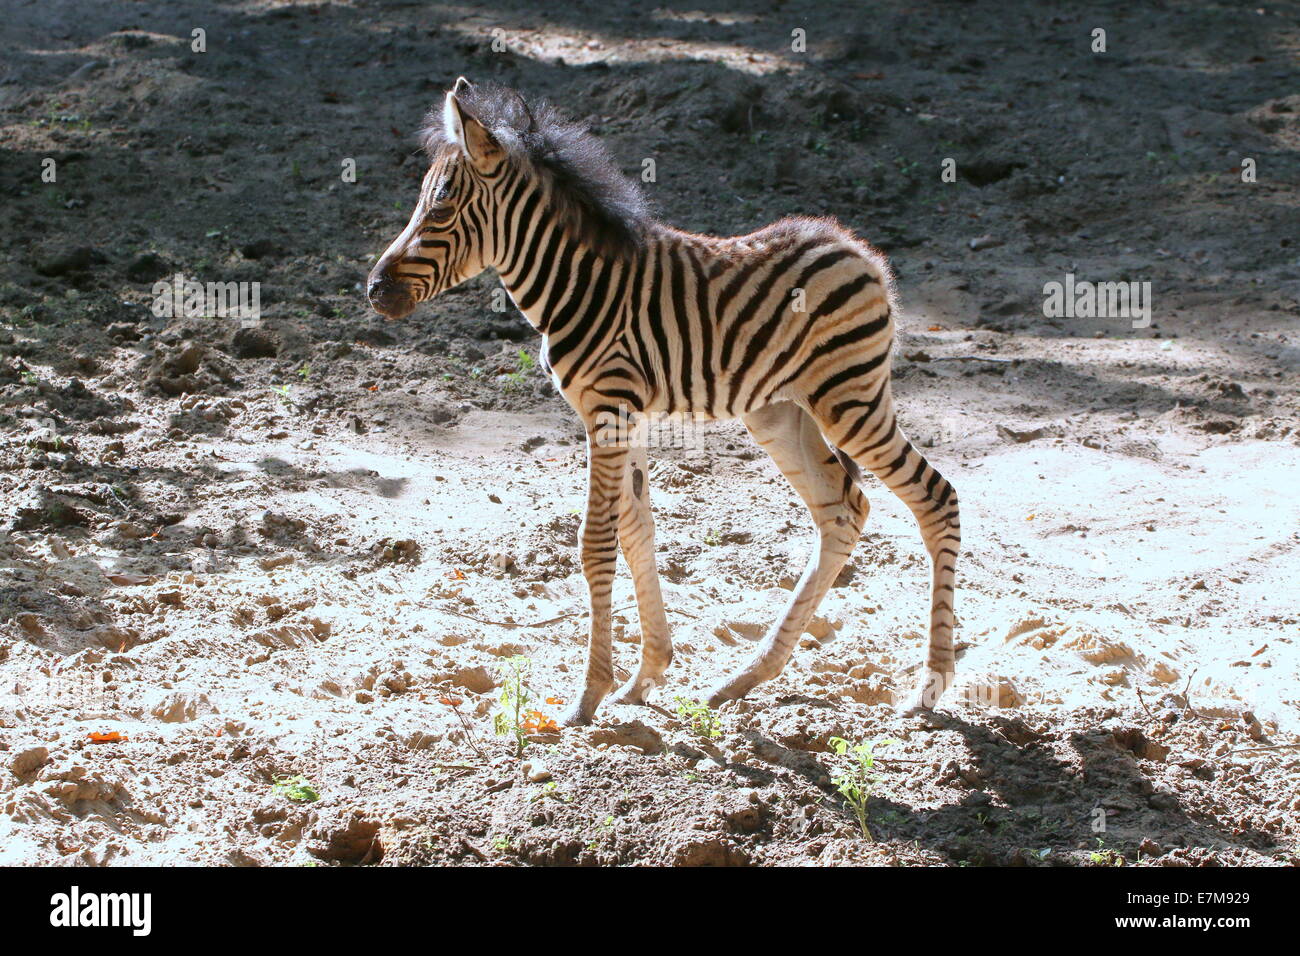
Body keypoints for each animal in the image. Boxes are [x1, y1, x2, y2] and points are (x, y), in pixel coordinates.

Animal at [371, 82, 961, 723]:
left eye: (439, 210)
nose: (374, 290)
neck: (577, 285)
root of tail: (861, 252)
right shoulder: (620, 415)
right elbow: (636, 531)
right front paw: (645, 676)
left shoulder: (608, 409)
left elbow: (595, 544)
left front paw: (588, 696)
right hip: (782, 410)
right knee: (843, 510)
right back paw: (743, 680)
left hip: (849, 399)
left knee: (935, 497)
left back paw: (928, 688)